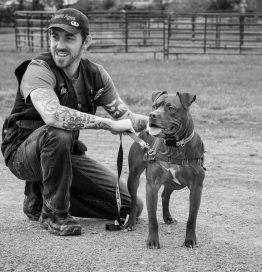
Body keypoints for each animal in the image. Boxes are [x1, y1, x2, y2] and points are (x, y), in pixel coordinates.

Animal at [124, 91, 206, 249]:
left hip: (173, 183)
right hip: (134, 176)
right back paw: (130, 223)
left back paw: (167, 217)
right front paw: (152, 241)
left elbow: (192, 218)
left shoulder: (196, 188)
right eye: (154, 106)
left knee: (165, 195)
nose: (151, 115)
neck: (175, 146)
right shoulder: (151, 185)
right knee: (134, 201)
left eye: (170, 108)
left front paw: (190, 239)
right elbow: (152, 219)